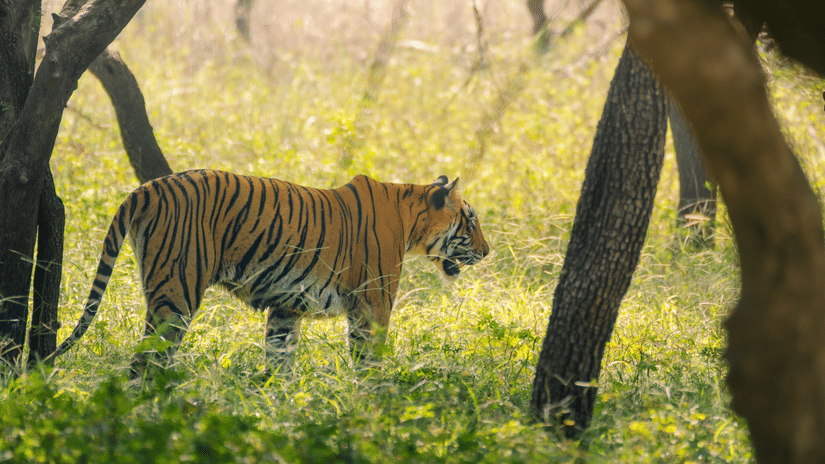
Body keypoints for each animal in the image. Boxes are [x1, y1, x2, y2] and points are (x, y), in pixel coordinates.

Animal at [48, 169, 489, 377]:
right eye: (470, 220)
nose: (488, 252)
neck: (410, 220)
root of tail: (148, 187)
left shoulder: (285, 308)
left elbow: (279, 361)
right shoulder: (372, 307)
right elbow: (368, 365)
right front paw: (372, 405)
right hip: (177, 294)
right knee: (144, 363)